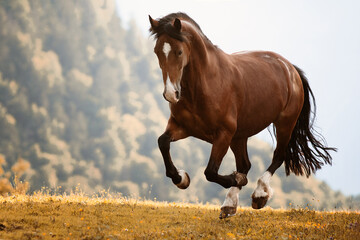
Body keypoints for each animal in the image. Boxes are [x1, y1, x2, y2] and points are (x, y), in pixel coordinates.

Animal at [148, 12, 336, 219]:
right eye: (157, 51)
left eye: (179, 52)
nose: (171, 94)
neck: (205, 84)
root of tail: (290, 68)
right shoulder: (182, 127)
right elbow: (162, 142)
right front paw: (182, 178)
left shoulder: (223, 134)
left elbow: (210, 172)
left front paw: (236, 179)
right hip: (240, 136)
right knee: (245, 164)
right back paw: (229, 205)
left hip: (284, 123)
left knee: (278, 156)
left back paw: (259, 194)